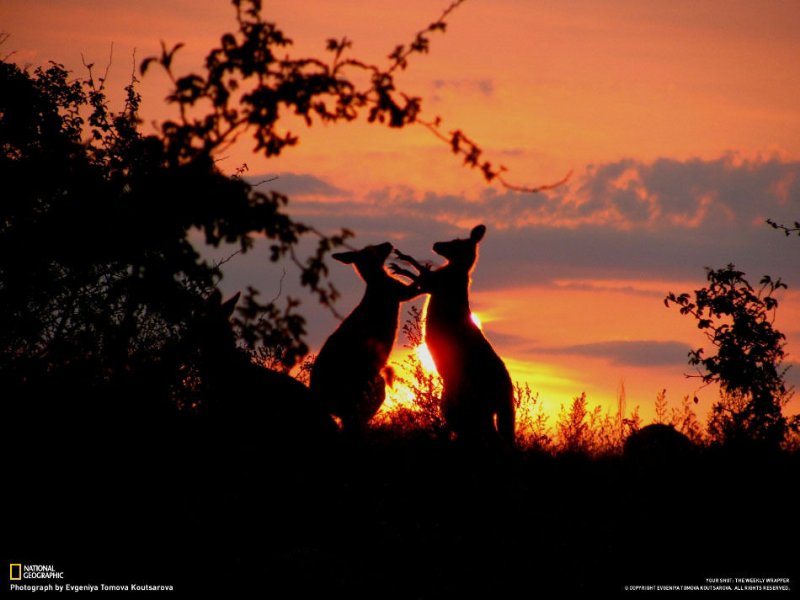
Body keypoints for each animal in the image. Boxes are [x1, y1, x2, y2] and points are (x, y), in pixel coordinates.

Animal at [310, 241, 424, 434]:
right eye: (372, 249)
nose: (388, 243)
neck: (376, 280)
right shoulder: (398, 291)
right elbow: (415, 287)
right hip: (366, 388)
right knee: (355, 421)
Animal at [392, 225, 512, 446]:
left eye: (455, 242)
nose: (436, 244)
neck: (456, 270)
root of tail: (506, 390)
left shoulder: (437, 283)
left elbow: (422, 275)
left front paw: (402, 262)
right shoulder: (434, 285)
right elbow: (421, 277)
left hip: (473, 401)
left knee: (487, 434)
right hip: (460, 403)